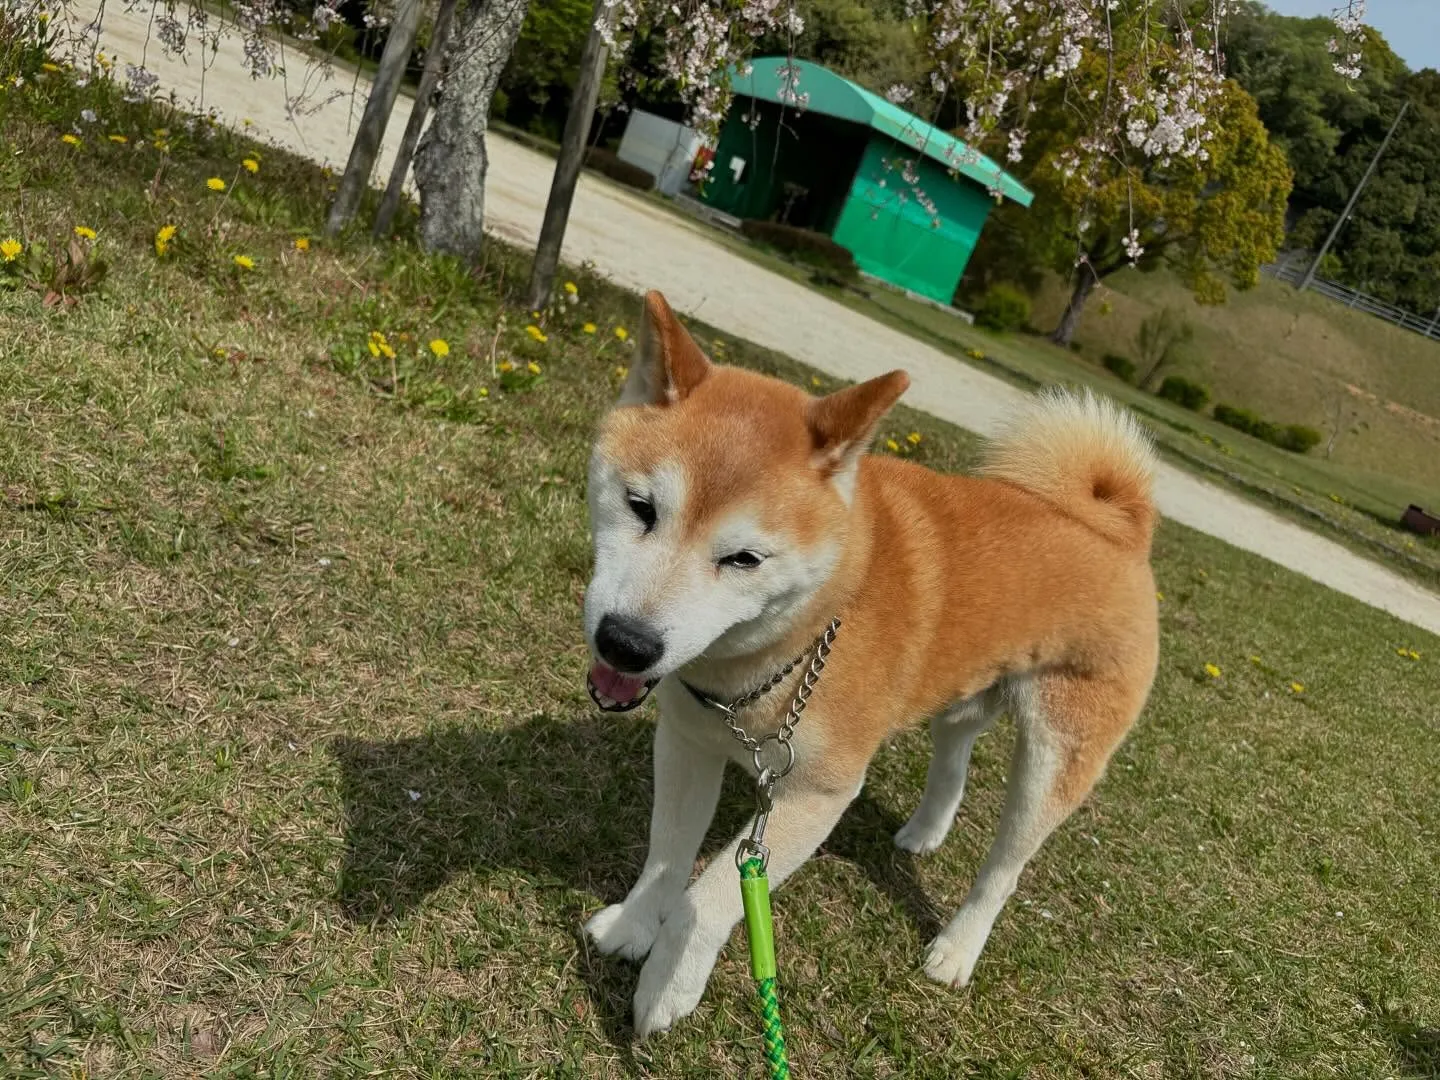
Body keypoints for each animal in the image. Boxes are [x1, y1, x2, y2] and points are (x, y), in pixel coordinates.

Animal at [581, 292, 1157, 1036]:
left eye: (744, 559)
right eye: (640, 506)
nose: (626, 643)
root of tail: (1120, 527)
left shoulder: (817, 790)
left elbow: (705, 900)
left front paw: (666, 989)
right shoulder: (687, 740)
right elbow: (665, 854)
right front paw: (631, 928)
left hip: (1057, 755)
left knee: (1006, 865)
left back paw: (957, 949)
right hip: (966, 686)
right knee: (955, 752)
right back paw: (923, 830)